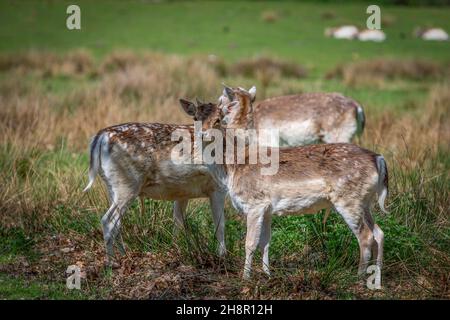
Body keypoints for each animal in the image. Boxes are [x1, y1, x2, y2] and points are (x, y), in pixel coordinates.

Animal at [82, 116, 227, 266]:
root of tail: (100, 137)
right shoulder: (219, 187)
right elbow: (220, 225)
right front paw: (222, 257)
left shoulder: (183, 193)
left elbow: (178, 224)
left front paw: (178, 251)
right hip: (127, 185)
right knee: (108, 220)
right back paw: (111, 263)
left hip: (112, 187)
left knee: (117, 223)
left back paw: (123, 255)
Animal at [182, 86, 386, 278]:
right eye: (195, 118)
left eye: (218, 118)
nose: (204, 134)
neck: (231, 169)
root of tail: (379, 159)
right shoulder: (267, 209)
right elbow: (266, 242)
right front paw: (267, 274)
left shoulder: (254, 204)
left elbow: (250, 243)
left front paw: (245, 277)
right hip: (365, 203)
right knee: (379, 232)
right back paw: (377, 275)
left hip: (349, 201)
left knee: (366, 236)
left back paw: (359, 276)